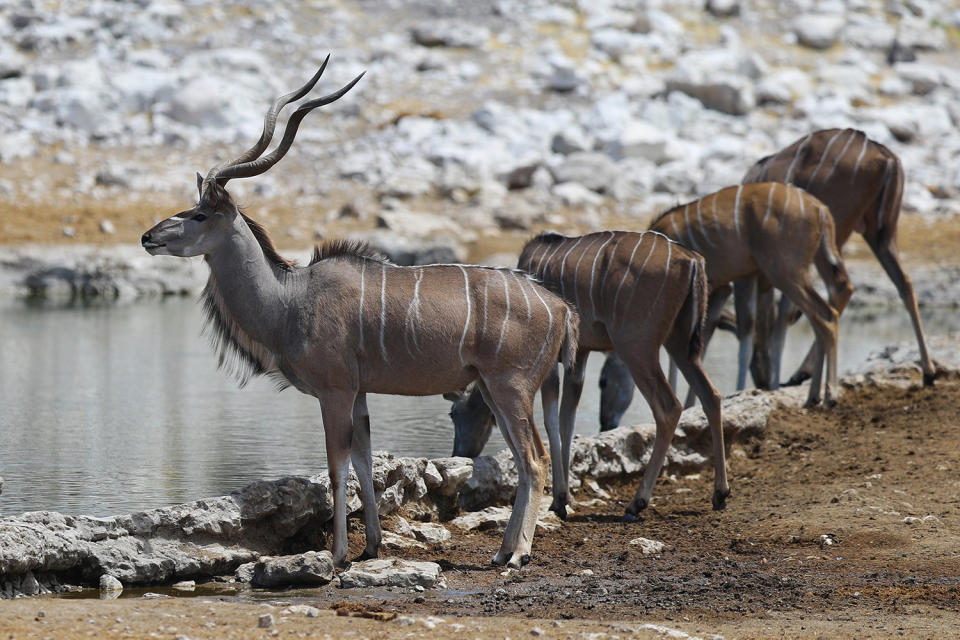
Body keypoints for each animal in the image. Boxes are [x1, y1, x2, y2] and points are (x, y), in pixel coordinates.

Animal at [138, 61, 572, 568]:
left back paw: (518, 554)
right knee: (523, 460)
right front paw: (372, 546)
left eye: (201, 214)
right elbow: (364, 462)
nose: (148, 236)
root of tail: (561, 307)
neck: (291, 299)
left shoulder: (336, 391)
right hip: (491, 387)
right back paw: (502, 551)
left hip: (510, 386)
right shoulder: (361, 394)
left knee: (536, 458)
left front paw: (339, 554)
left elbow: (337, 466)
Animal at [450, 230, 728, 520]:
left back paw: (637, 502)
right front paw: (563, 497)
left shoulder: (551, 364)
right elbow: (567, 419)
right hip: (681, 344)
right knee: (712, 396)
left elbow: (551, 419)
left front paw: (559, 499)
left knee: (669, 407)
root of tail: (692, 259)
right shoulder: (580, 355)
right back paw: (720, 494)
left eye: (454, 414)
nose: (458, 453)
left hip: (636, 347)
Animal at [648, 182, 852, 408]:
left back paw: (830, 395)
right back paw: (813, 396)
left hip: (785, 272)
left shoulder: (718, 286)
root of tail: (821, 210)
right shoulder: (727, 285)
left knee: (825, 316)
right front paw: (691, 404)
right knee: (821, 316)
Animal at [740, 125, 932, 384]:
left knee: (840, 288)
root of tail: (887, 159)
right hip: (881, 234)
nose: (760, 375)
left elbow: (781, 312)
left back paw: (803, 372)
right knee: (905, 283)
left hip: (834, 237)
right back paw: (929, 372)